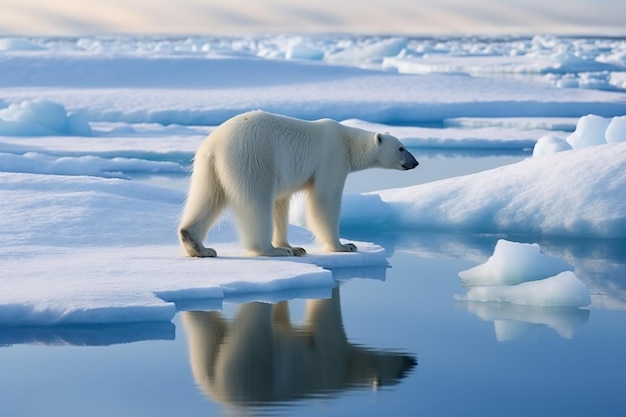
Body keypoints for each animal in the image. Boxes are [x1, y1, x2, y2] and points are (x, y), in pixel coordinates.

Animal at [178, 109, 416, 255]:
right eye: (401, 148)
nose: (415, 162)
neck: (347, 142)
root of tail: (214, 144)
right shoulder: (332, 157)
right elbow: (324, 199)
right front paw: (344, 245)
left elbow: (281, 203)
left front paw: (293, 246)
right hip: (253, 156)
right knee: (257, 201)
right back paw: (270, 250)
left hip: (208, 167)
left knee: (208, 197)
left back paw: (198, 245)